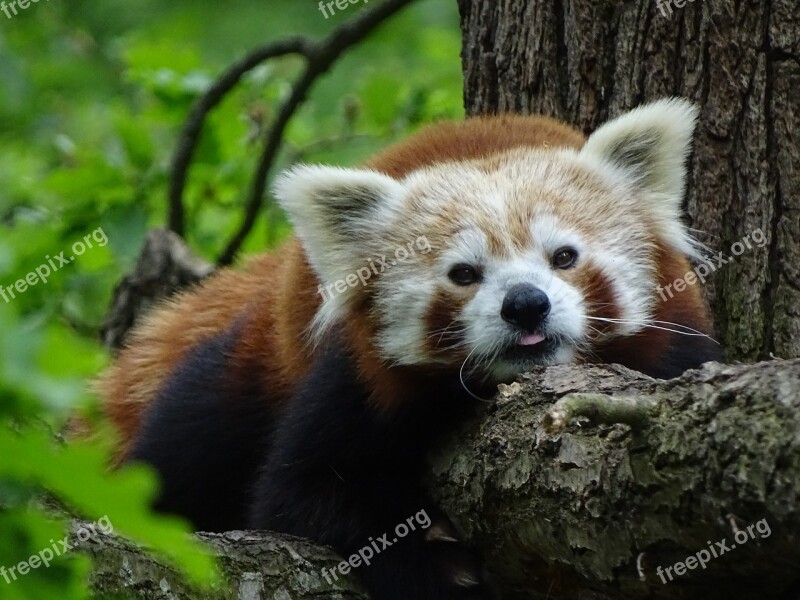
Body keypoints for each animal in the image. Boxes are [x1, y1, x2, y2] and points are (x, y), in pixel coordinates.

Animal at [98, 99, 720, 600]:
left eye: (564, 256)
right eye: (464, 273)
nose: (525, 304)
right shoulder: (354, 377)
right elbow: (295, 497)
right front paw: (433, 565)